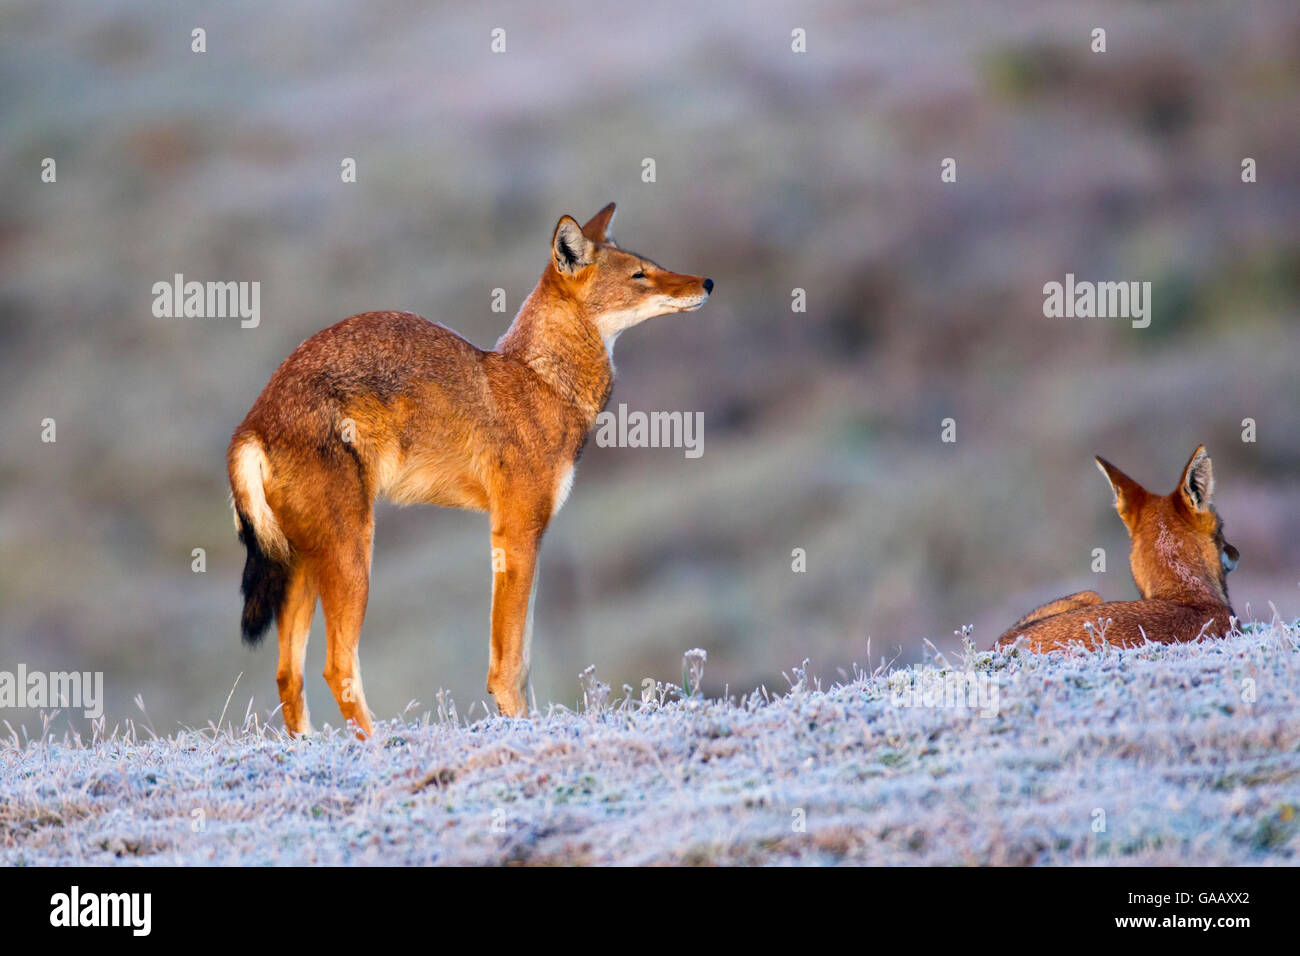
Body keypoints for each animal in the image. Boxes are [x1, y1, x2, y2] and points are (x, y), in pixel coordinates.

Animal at [224, 205, 712, 738]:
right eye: (640, 275)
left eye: (653, 265)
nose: (707, 282)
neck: (540, 379)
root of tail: (254, 420)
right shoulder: (514, 531)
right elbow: (509, 658)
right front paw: (518, 724)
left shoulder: (531, 535)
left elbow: (525, 655)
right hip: (352, 559)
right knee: (336, 667)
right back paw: (381, 745)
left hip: (304, 567)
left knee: (287, 675)